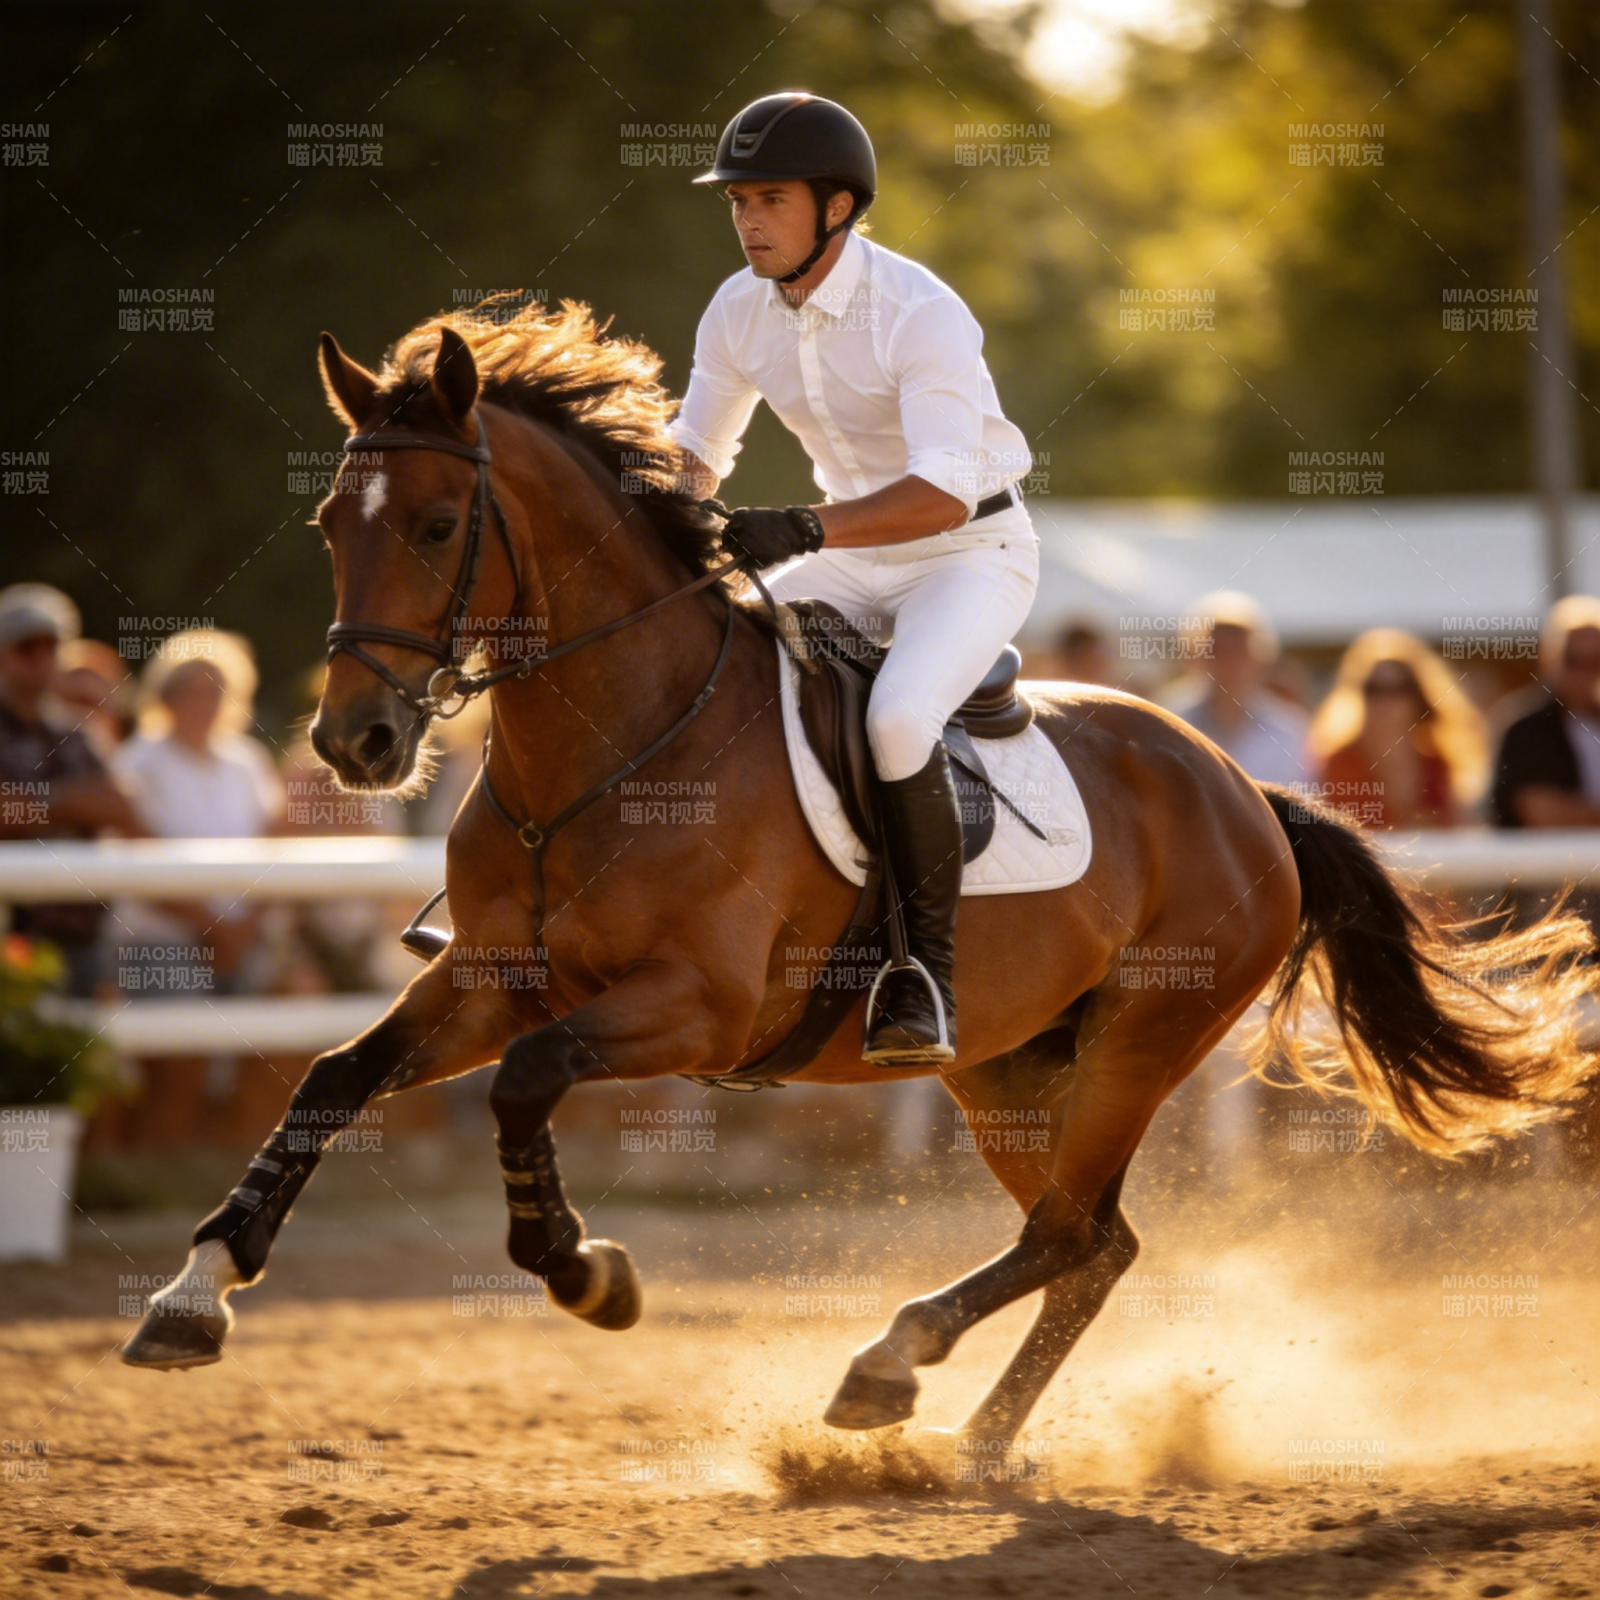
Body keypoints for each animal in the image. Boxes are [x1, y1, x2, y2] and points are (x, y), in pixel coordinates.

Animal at [122, 298, 1598, 1452]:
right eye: (331, 521)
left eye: (437, 525)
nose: (353, 744)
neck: (605, 752)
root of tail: (1244, 789)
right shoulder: (494, 980)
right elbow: (333, 1078)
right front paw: (193, 1296)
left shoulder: (694, 1010)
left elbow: (526, 1084)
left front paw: (587, 1272)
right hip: (1005, 1064)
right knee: (1090, 1242)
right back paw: (974, 1438)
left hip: (1141, 1040)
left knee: (1068, 1234)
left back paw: (891, 1370)